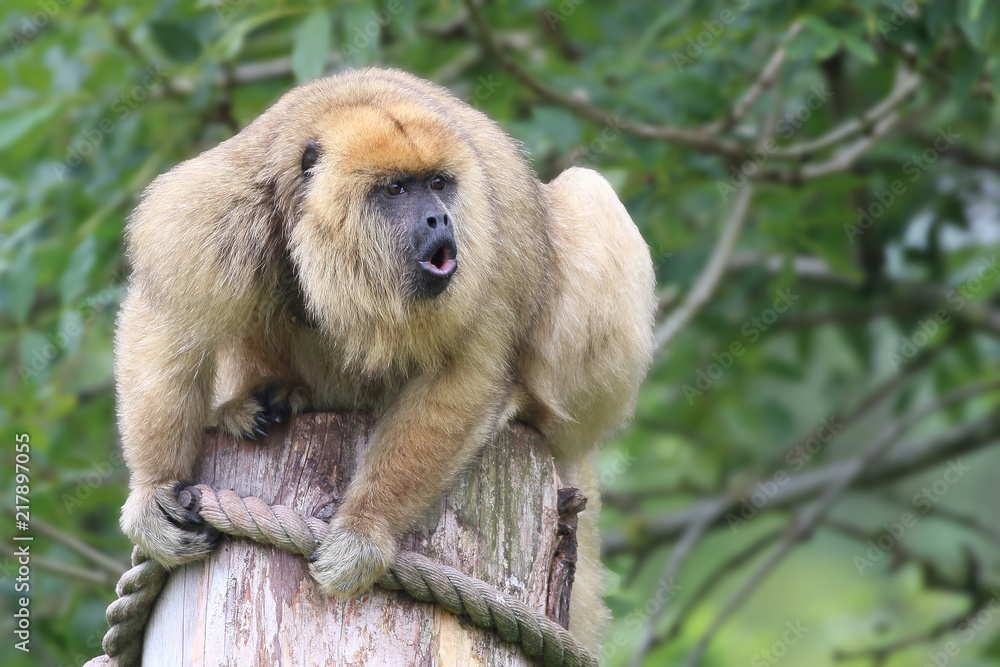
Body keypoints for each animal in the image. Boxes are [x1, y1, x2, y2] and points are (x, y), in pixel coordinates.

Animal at [115, 67, 655, 650]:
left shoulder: (484, 248)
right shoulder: (216, 212)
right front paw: (153, 491)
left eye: (437, 184)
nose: (440, 218)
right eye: (395, 189)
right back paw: (263, 397)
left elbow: (461, 371)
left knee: (588, 190)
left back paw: (523, 402)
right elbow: (167, 319)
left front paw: (364, 531)